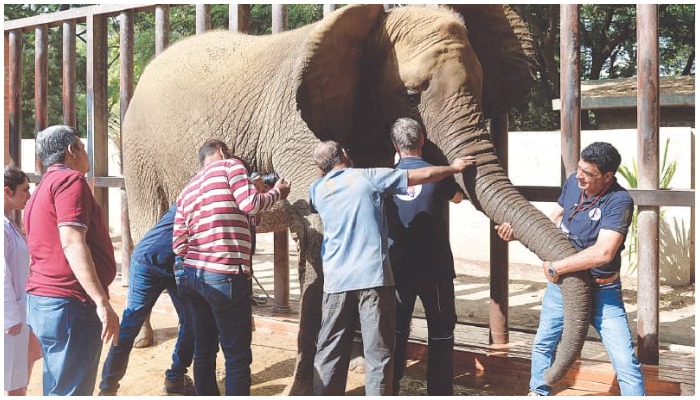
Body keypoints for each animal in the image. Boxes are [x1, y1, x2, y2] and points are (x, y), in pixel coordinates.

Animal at [121, 3, 592, 392]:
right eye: (411, 94)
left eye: (480, 86)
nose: (545, 382)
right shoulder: (299, 132)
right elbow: (317, 237)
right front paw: (306, 388)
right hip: (140, 150)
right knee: (152, 229)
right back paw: (148, 343)